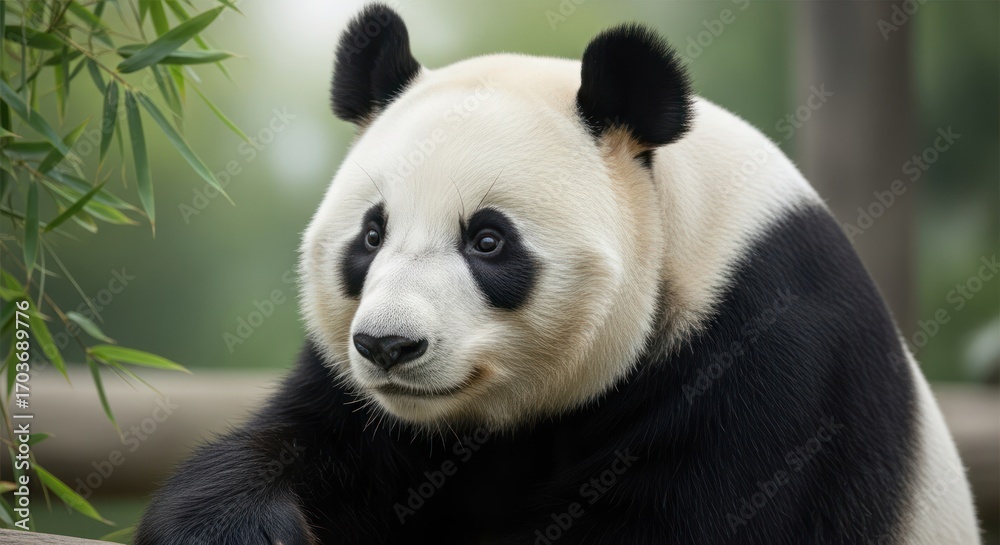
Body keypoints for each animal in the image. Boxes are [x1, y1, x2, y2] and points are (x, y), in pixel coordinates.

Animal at [135, 4, 981, 545]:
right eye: (371, 235)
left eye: (487, 239)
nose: (389, 346)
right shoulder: (372, 410)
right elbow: (303, 442)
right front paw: (243, 527)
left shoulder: (771, 366)